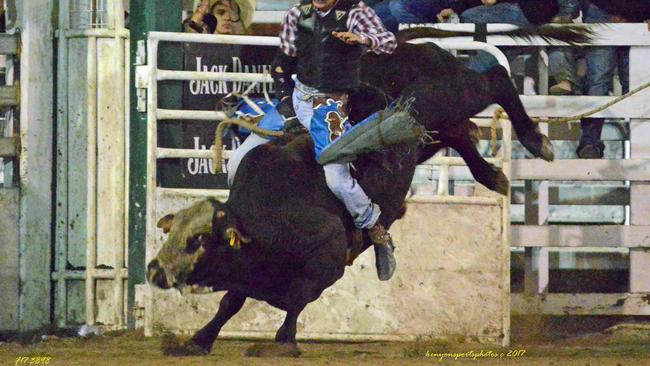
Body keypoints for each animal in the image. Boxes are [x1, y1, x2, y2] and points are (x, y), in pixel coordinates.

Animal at [146, 40, 552, 354]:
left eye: (197, 240)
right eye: (171, 233)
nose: (153, 270)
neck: (268, 217)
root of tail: (425, 48)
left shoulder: (326, 260)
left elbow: (296, 297)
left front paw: (283, 341)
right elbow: (231, 301)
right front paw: (199, 339)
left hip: (446, 97)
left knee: (494, 80)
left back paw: (536, 140)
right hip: (430, 129)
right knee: (460, 133)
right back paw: (493, 175)